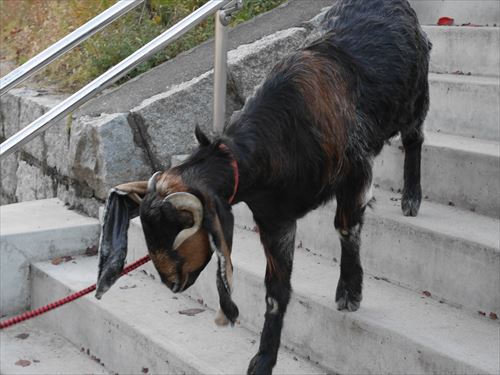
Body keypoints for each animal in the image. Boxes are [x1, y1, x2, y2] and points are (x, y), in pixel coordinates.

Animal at [94, 1, 430, 374]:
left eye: (182, 225)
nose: (171, 282)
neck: (283, 137)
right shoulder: (274, 220)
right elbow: (275, 290)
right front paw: (263, 359)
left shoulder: (355, 171)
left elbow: (346, 228)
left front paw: (349, 290)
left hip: (415, 100)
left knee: (414, 139)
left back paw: (411, 197)